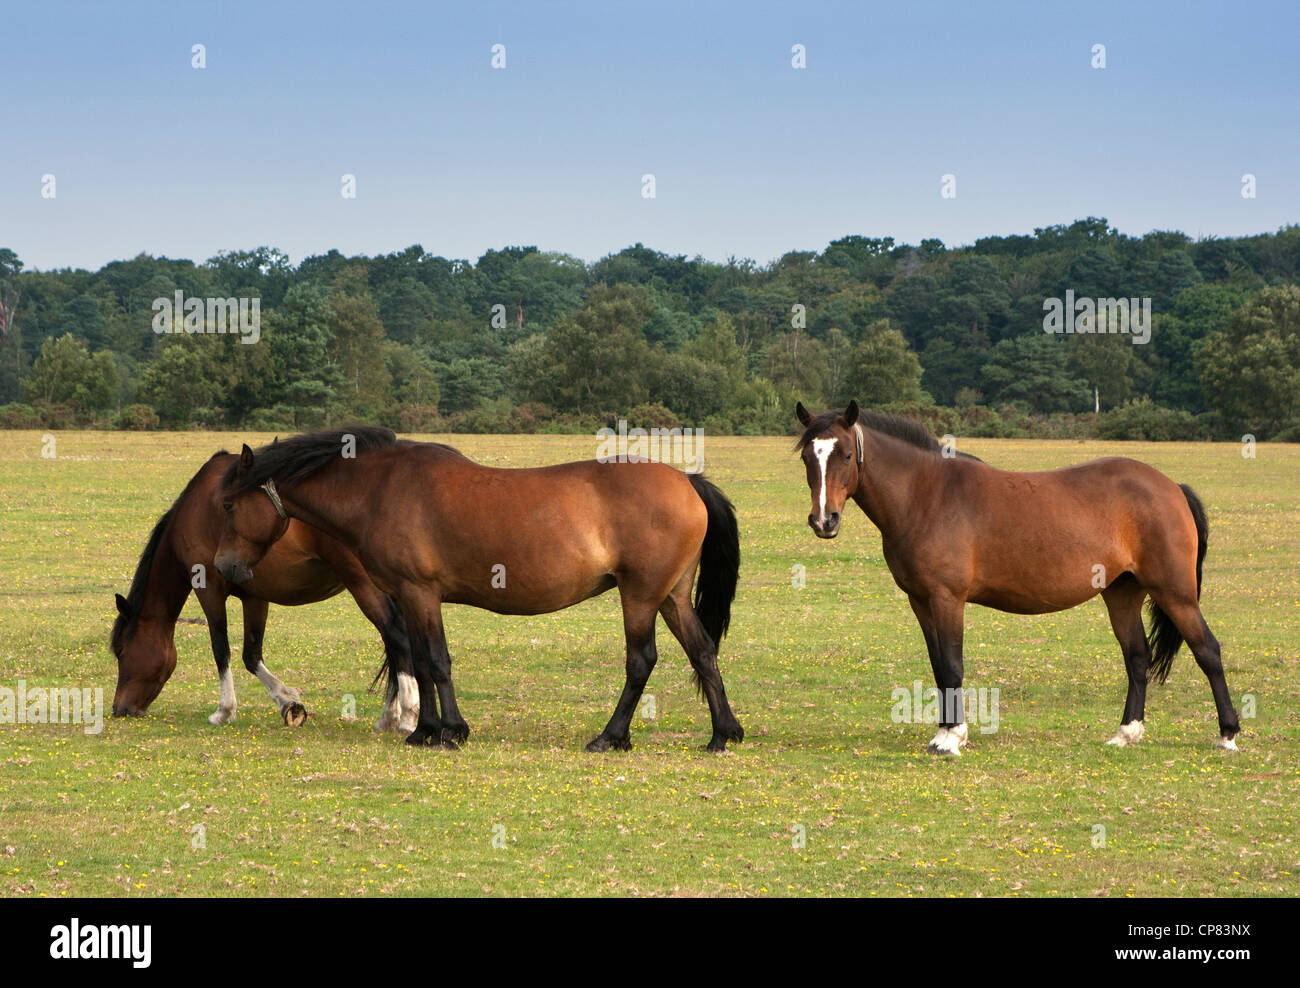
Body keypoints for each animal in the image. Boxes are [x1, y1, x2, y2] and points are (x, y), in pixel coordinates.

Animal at [111, 450, 419, 731]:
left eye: (121, 651)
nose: (119, 709)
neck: (197, 509)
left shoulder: (209, 590)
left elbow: (221, 649)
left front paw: (225, 711)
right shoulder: (254, 597)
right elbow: (251, 655)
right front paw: (288, 703)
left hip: (364, 586)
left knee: (394, 634)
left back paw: (400, 716)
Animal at [211, 426, 745, 752]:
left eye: (230, 506)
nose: (222, 567)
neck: (380, 489)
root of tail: (689, 482)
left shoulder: (419, 592)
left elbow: (436, 662)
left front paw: (449, 731)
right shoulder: (408, 597)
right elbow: (420, 661)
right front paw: (425, 730)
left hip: (639, 597)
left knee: (641, 661)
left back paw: (611, 736)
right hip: (671, 596)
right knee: (702, 651)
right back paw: (723, 734)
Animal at [793, 400, 1240, 755]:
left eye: (845, 454)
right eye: (806, 458)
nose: (823, 521)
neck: (927, 495)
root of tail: (1171, 487)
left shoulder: (946, 598)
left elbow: (952, 664)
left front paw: (952, 738)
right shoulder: (920, 601)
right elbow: (938, 666)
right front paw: (942, 732)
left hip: (1175, 592)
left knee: (1207, 651)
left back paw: (1228, 734)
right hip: (1121, 594)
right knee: (1137, 657)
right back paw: (1126, 733)